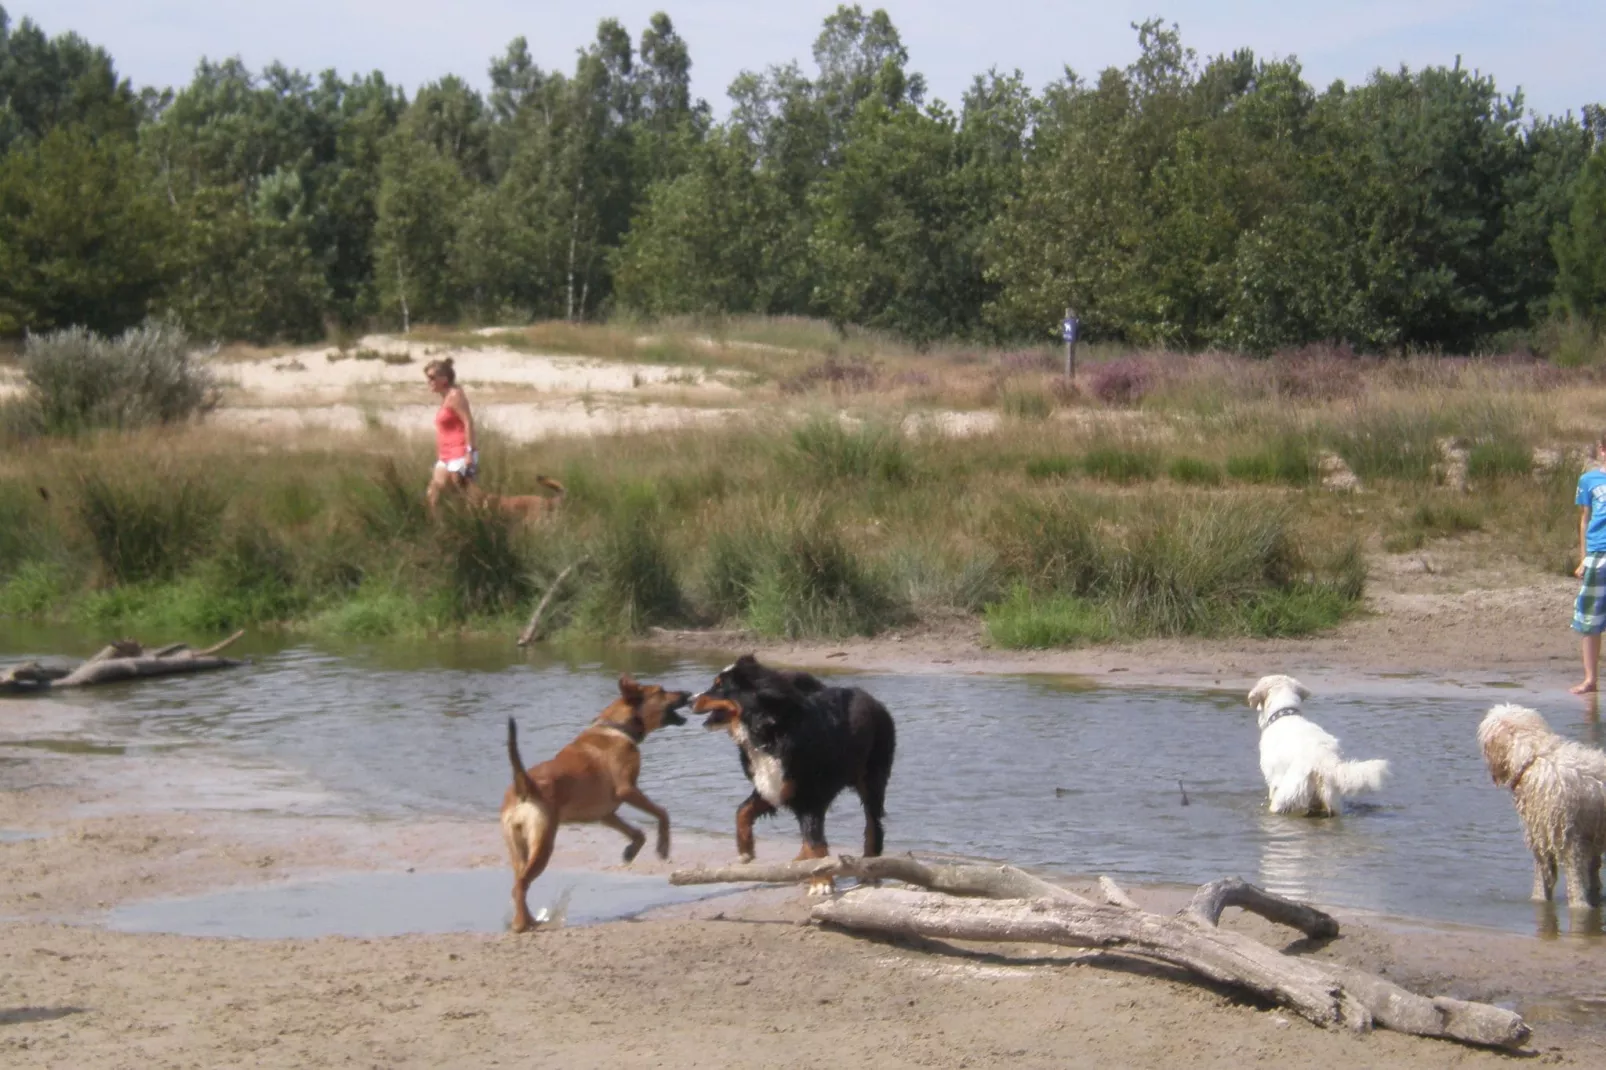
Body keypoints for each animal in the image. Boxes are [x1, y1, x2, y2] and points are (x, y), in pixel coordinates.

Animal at [494, 671, 684, 931]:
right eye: (662, 691)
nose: (687, 693)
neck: (616, 727)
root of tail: (525, 784)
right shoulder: (627, 790)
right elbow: (663, 813)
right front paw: (663, 846)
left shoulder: (605, 814)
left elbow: (638, 833)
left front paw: (630, 851)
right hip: (543, 843)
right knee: (520, 885)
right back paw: (523, 924)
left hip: (518, 846)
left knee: (518, 884)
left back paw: (527, 919)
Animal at [690, 649, 892, 873]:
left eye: (719, 686)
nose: (689, 699)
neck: (770, 731)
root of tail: (871, 698)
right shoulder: (773, 786)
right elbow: (742, 812)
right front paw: (745, 851)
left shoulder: (810, 797)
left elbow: (816, 845)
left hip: (871, 781)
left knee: (873, 826)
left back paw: (870, 861)